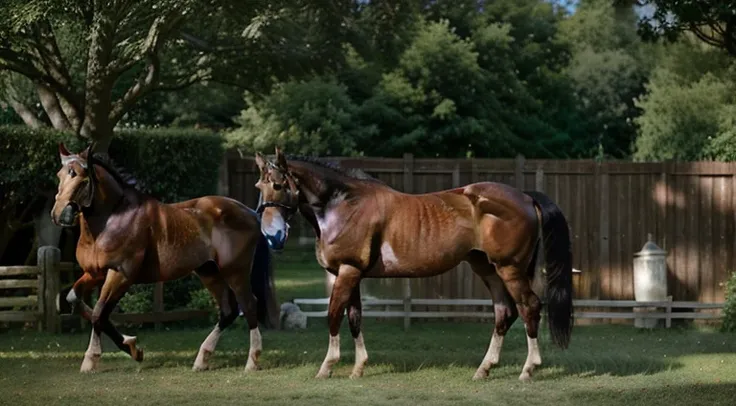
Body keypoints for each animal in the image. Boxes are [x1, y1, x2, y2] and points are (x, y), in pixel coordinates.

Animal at [51, 144, 276, 374]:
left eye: (81, 177)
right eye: (60, 174)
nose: (59, 215)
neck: (113, 218)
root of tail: (252, 213)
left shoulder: (121, 275)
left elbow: (98, 313)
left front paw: (93, 358)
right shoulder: (96, 273)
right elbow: (76, 300)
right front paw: (131, 346)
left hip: (235, 271)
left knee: (248, 304)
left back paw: (252, 360)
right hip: (208, 271)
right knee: (228, 310)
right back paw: (202, 358)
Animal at [254, 148, 576, 380]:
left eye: (280, 185)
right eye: (260, 185)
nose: (272, 235)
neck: (343, 204)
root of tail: (525, 197)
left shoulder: (347, 272)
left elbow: (334, 316)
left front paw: (326, 367)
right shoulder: (351, 274)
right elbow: (354, 319)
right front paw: (358, 369)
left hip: (509, 269)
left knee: (529, 307)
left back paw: (528, 369)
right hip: (488, 268)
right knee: (504, 312)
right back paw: (484, 369)